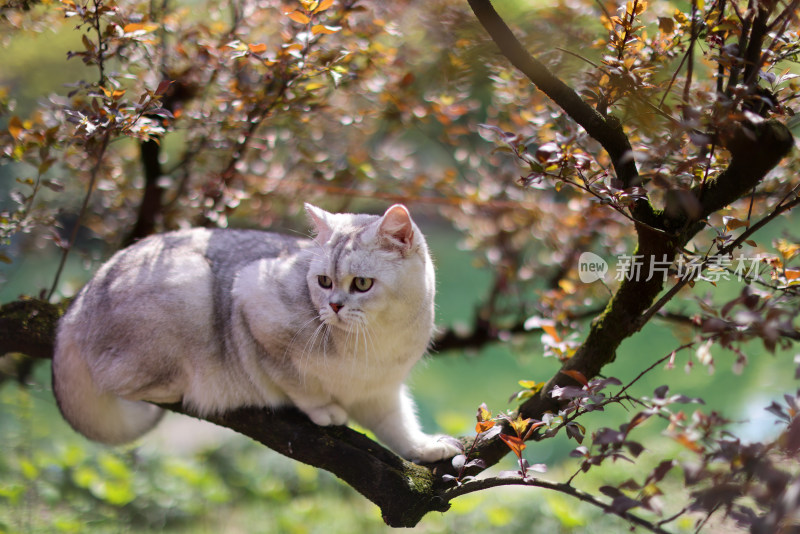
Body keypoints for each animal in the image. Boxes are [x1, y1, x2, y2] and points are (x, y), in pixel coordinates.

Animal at [50, 205, 460, 464]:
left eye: (361, 284)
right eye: (323, 282)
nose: (333, 307)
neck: (375, 342)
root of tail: (75, 307)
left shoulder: (381, 392)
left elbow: (399, 426)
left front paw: (425, 448)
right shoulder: (254, 305)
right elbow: (298, 383)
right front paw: (324, 410)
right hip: (189, 286)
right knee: (122, 381)